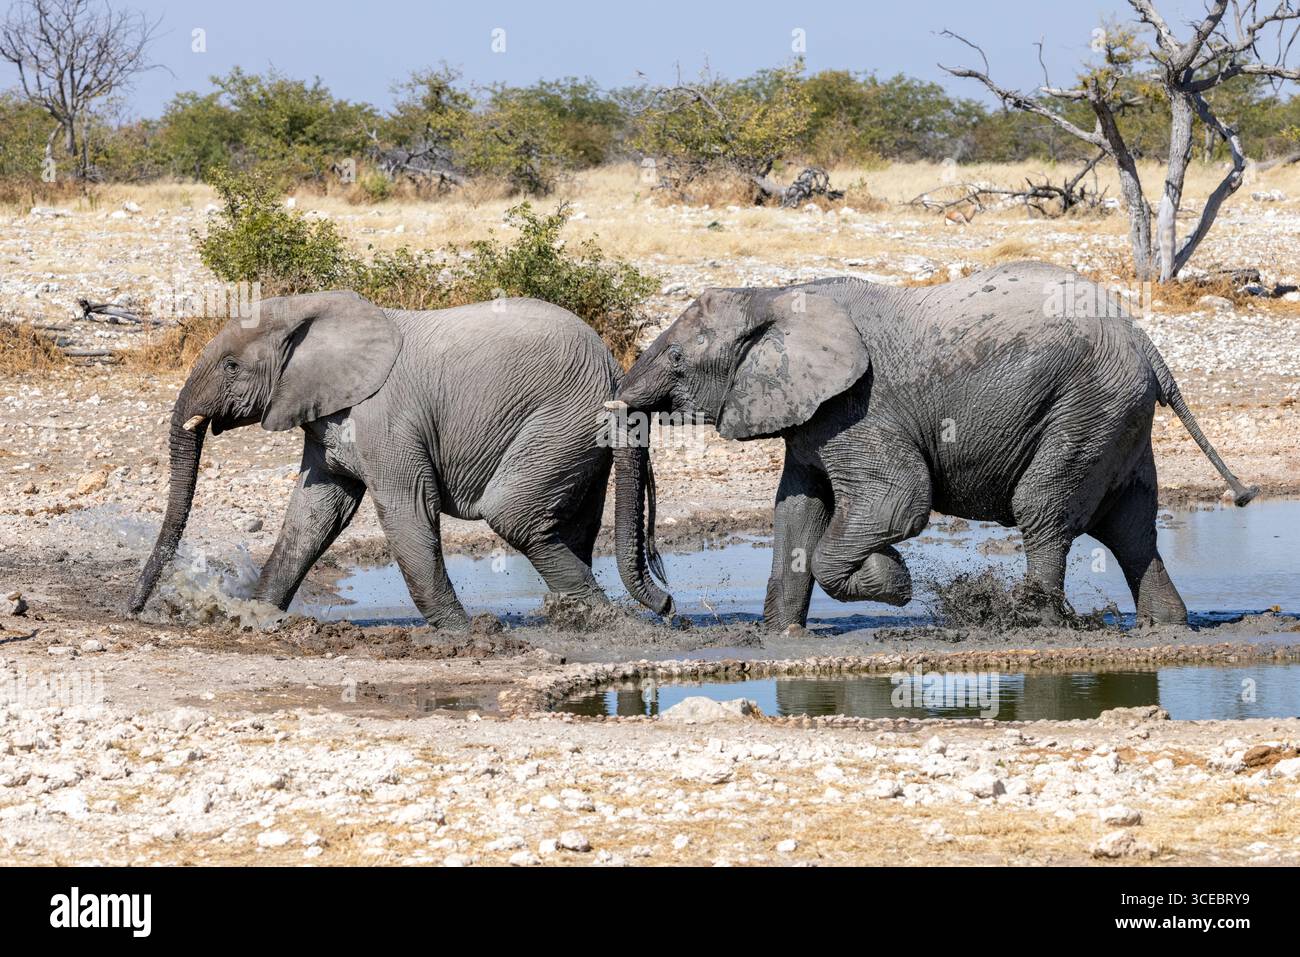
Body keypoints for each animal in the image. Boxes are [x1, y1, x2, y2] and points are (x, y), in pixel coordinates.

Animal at [129, 290, 671, 629]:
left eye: (232, 366)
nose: (133, 611)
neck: (313, 310)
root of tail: (614, 367)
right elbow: (314, 514)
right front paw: (257, 618)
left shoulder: (385, 416)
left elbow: (406, 508)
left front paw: (466, 634)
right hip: (577, 437)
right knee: (571, 524)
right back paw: (586, 617)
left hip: (561, 419)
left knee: (514, 516)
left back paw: (613, 620)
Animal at [612, 261, 1257, 630]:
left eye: (676, 359)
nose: (669, 608)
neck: (774, 296)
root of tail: (1148, 344)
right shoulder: (812, 415)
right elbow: (795, 513)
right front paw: (781, 636)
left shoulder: (859, 408)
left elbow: (897, 503)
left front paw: (892, 581)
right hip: (1116, 417)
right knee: (1132, 524)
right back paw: (1166, 626)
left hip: (1087, 404)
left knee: (1043, 509)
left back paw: (1034, 621)